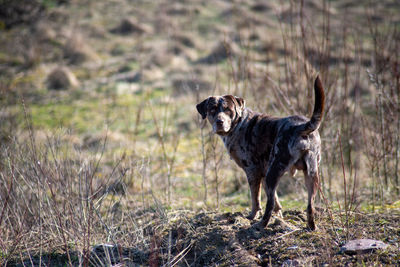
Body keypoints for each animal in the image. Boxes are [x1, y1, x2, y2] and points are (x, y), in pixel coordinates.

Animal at [197, 76, 324, 230]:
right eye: (212, 109)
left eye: (228, 110)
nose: (219, 122)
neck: (238, 124)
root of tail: (301, 127)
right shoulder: (263, 172)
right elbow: (275, 198)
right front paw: (279, 214)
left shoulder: (252, 171)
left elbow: (255, 198)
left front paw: (252, 216)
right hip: (311, 174)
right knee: (310, 206)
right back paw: (311, 227)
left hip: (274, 171)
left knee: (269, 204)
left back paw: (261, 224)